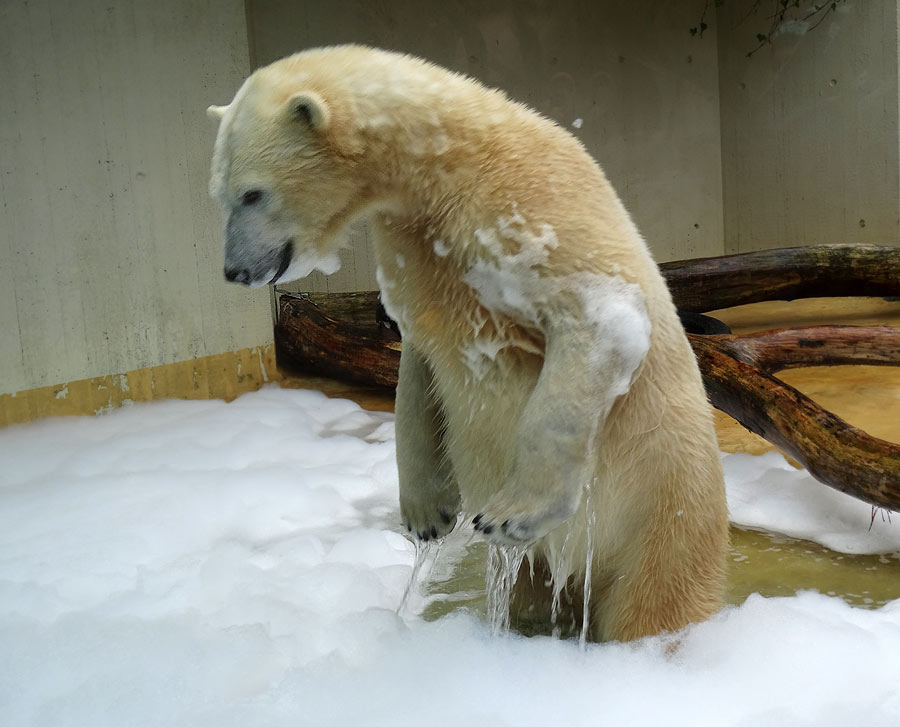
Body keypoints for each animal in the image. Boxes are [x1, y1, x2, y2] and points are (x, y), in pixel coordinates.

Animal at [211, 45, 732, 640]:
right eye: (218, 194)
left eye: (252, 193)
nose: (234, 271)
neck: (443, 161)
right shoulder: (414, 250)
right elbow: (419, 362)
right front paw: (427, 513)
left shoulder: (522, 206)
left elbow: (601, 316)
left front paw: (511, 513)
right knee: (531, 588)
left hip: (663, 511)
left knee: (653, 603)